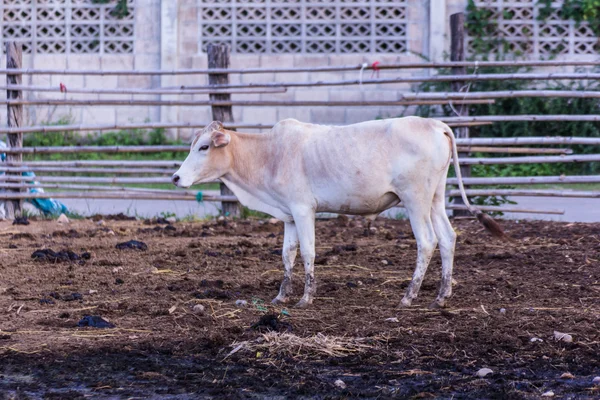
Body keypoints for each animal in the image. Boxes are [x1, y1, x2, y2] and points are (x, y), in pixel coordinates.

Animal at [171, 117, 504, 308]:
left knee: (427, 241)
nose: (175, 177)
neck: (269, 154)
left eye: (203, 147)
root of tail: (436, 124)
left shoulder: (304, 209)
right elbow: (287, 254)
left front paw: (306, 298)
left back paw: (408, 297)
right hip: (435, 198)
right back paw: (441, 296)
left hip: (415, 199)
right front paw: (281, 295)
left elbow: (308, 252)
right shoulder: (289, 214)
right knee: (448, 238)